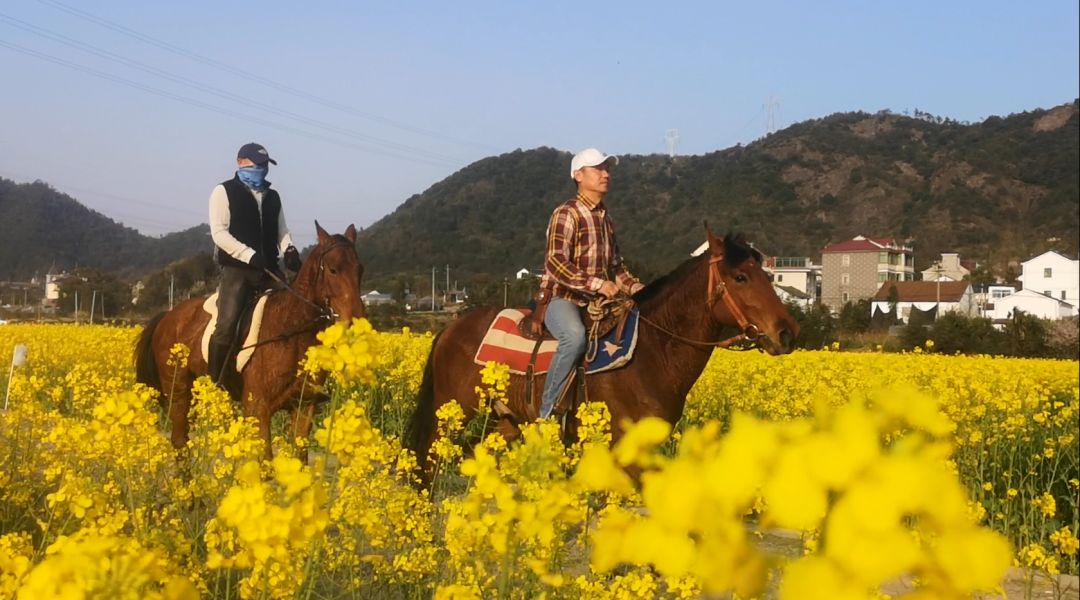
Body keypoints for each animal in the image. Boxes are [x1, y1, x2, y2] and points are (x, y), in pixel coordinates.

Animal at [135, 222, 367, 457]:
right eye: (333, 270)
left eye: (360, 269)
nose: (355, 321)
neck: (291, 331)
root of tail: (167, 316)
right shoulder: (258, 409)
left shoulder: (304, 406)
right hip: (178, 391)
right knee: (179, 441)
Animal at [401, 229, 799, 479]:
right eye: (740, 277)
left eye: (768, 274)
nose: (788, 332)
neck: (652, 352)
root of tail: (451, 328)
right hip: (450, 415)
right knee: (429, 463)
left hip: (504, 422)